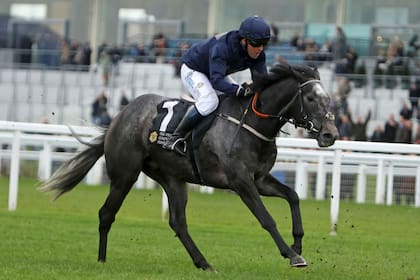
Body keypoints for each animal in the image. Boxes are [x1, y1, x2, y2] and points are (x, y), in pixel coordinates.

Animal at [40, 63, 338, 270]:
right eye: (311, 98)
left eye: (329, 99)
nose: (330, 134)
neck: (253, 123)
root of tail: (119, 116)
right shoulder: (241, 182)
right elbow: (266, 219)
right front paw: (292, 255)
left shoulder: (260, 178)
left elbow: (293, 196)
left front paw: (297, 242)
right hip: (125, 175)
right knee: (106, 214)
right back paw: (102, 261)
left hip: (173, 179)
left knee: (178, 223)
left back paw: (203, 262)